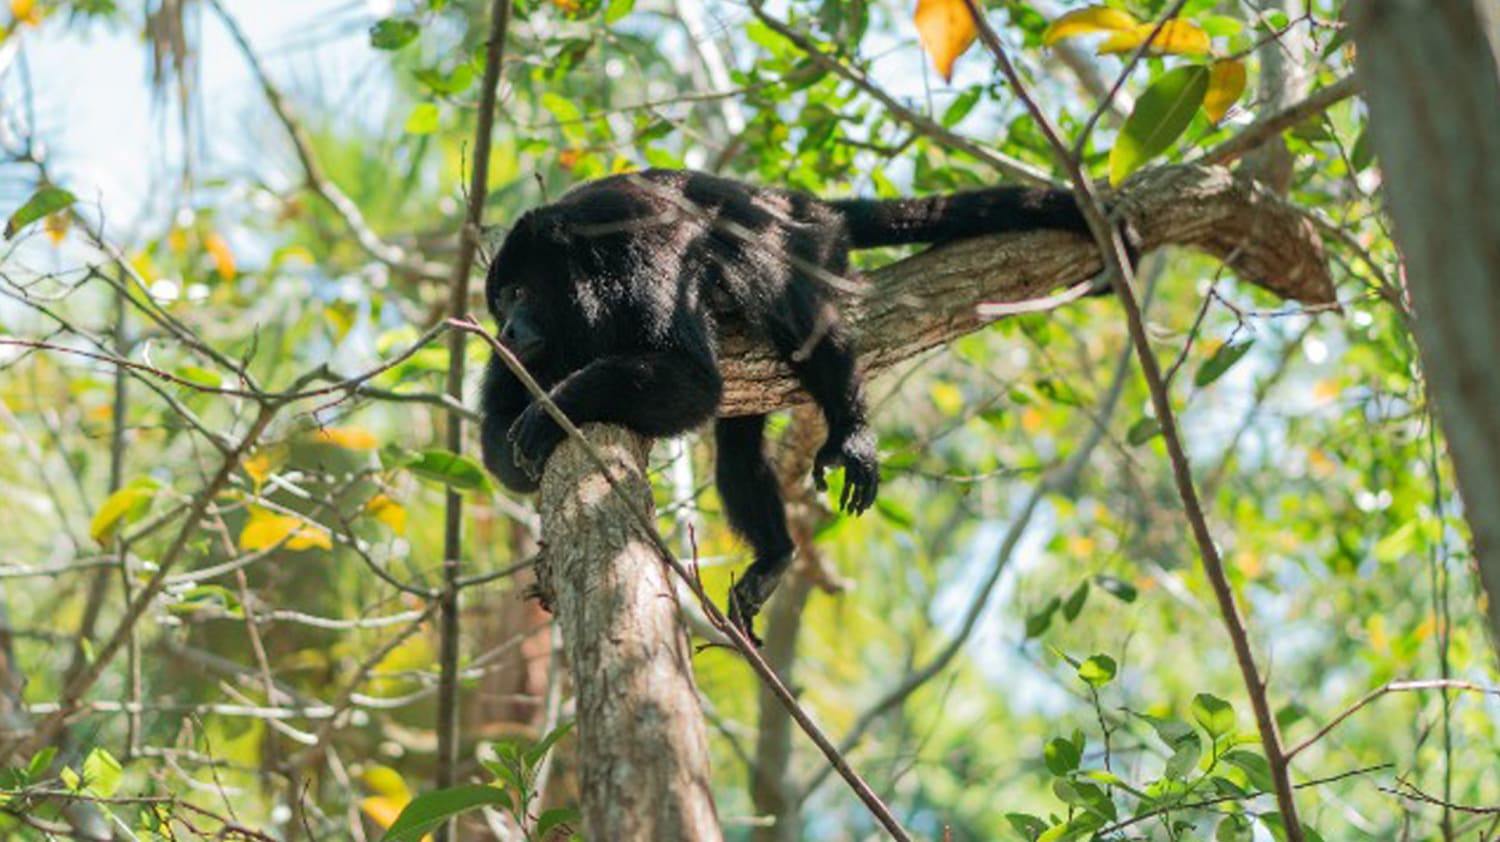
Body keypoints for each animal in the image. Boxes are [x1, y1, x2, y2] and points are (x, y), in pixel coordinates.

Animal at [478, 169, 1117, 643]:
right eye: (499, 304)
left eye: (519, 292)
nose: (506, 329)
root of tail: (797, 202)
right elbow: (493, 436)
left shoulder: (641, 259)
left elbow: (695, 379)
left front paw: (550, 410)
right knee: (738, 448)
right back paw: (776, 554)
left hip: (812, 244)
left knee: (796, 314)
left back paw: (852, 431)